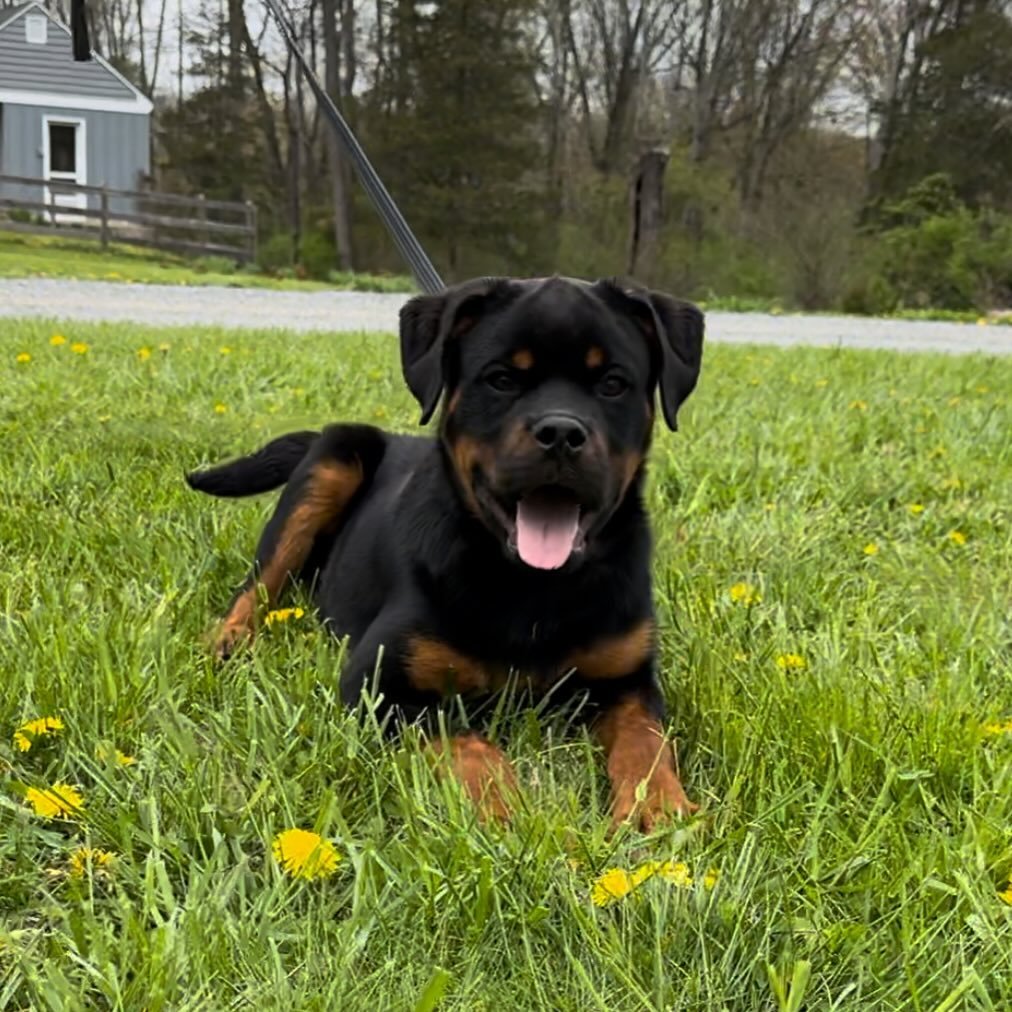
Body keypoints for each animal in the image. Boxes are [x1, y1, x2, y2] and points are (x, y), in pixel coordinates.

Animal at [184, 277, 704, 829]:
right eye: (501, 379)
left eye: (613, 384)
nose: (561, 433)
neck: (534, 588)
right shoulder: (379, 682)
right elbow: (467, 742)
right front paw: (504, 808)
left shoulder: (629, 676)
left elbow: (646, 738)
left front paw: (658, 805)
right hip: (335, 458)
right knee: (258, 583)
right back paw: (228, 640)